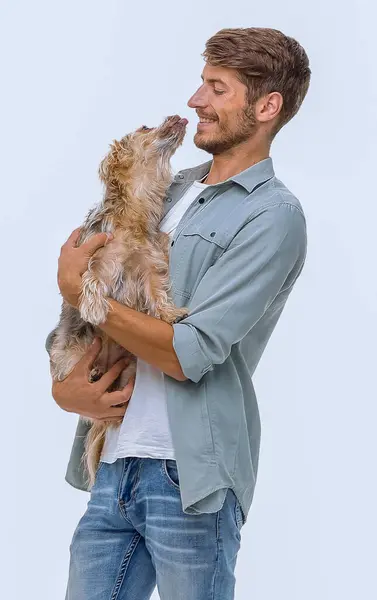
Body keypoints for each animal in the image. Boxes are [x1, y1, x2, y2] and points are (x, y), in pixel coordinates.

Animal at [48, 115, 188, 490]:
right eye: (145, 128)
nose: (177, 116)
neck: (135, 213)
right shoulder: (95, 258)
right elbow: (92, 281)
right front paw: (94, 306)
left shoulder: (148, 265)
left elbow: (157, 291)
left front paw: (171, 313)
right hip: (72, 355)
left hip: (128, 374)